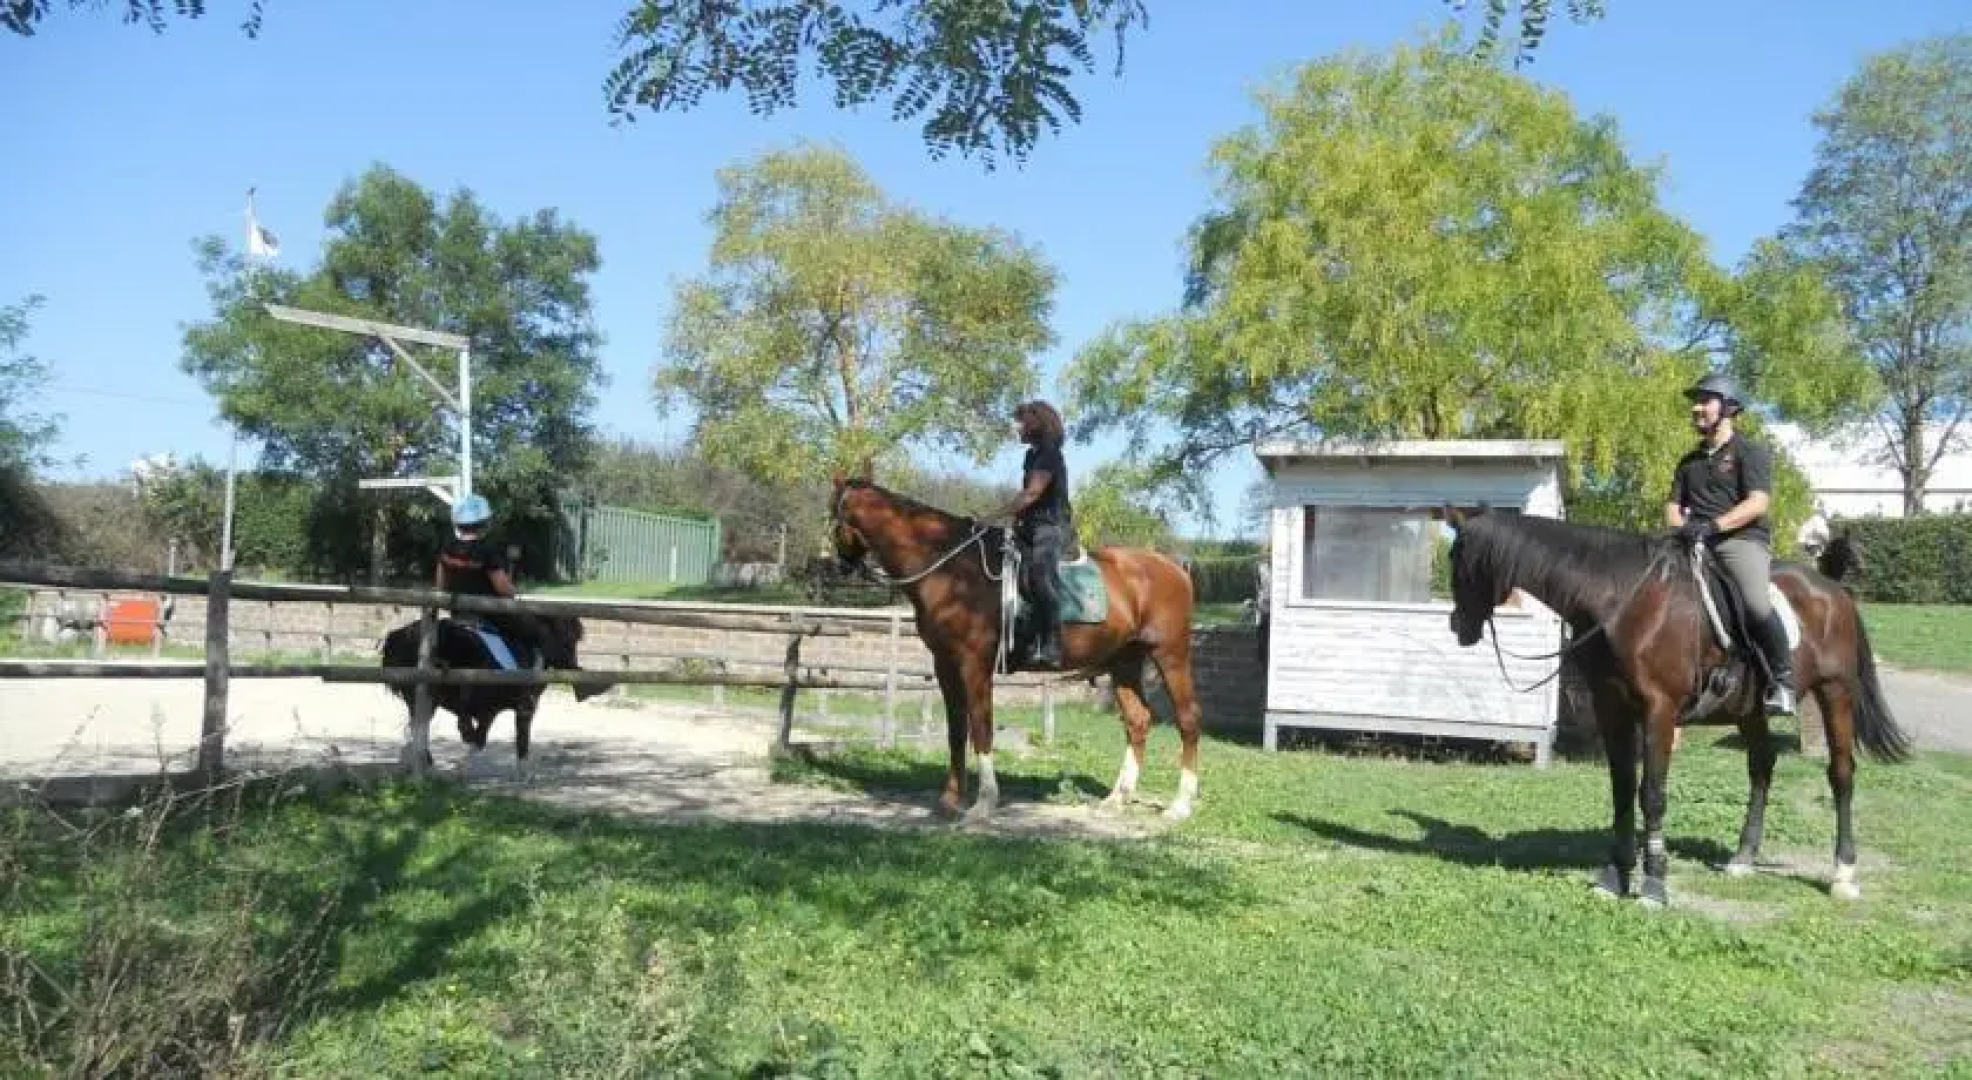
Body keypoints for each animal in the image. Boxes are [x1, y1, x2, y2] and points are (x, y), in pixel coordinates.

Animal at [379, 607, 599, 778]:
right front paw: (524, 773)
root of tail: (400, 635)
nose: (573, 666)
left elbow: (480, 739)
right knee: (419, 729)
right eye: (570, 639)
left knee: (417, 729)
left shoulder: (490, 710)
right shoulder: (519, 708)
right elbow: (513, 738)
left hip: (420, 699)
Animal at [828, 465, 1206, 823]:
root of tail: (1174, 567)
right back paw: (1117, 799)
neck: (952, 570)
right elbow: (956, 731)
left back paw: (1180, 805)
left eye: (833, 511)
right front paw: (949, 801)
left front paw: (983, 803)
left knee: (1188, 719)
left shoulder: (975, 664)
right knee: (1138, 720)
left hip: (1170, 655)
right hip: (1123, 661)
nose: (840, 565)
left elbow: (982, 728)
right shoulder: (945, 664)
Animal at [1442, 508, 1912, 906]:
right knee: (1761, 768)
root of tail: (1834, 591)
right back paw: (1743, 858)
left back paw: (1843, 875)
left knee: (1841, 774)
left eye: (1456, 558)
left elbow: (1651, 794)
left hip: (1836, 693)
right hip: (1751, 710)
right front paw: (1615, 876)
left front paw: (1654, 883)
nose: (1457, 626)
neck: (1625, 600)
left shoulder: (1659, 711)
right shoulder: (1613, 709)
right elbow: (1621, 790)